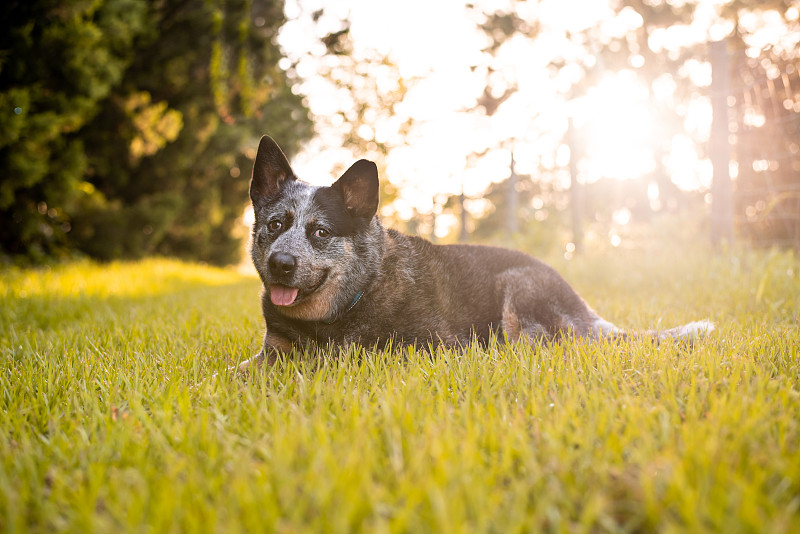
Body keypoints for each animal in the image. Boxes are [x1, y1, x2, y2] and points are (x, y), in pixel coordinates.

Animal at [239, 134, 712, 368]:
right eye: (276, 224)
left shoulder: (426, 348)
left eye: (320, 231)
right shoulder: (271, 351)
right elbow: (244, 369)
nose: (281, 264)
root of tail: (588, 314)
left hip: (518, 291)